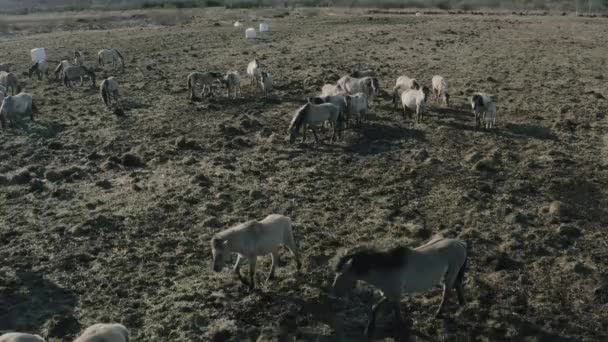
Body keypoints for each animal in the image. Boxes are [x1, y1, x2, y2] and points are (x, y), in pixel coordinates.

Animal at [332, 236, 466, 338]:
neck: (385, 269)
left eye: (342, 275)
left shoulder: (396, 295)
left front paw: (402, 329)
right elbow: (374, 307)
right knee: (457, 284)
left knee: (446, 292)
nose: (334, 291)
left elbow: (397, 315)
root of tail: (460, 243)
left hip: (451, 274)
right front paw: (369, 329)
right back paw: (461, 303)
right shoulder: (388, 293)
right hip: (451, 274)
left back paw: (438, 314)